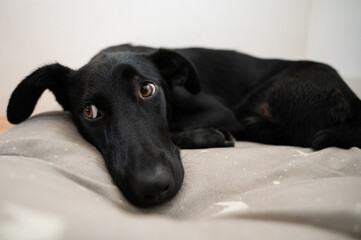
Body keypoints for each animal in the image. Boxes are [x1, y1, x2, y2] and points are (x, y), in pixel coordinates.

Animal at [6, 44, 360, 207]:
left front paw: (210, 136)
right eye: (89, 112)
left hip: (276, 91)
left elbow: (175, 131)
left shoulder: (218, 111)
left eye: (147, 89)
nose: (151, 187)